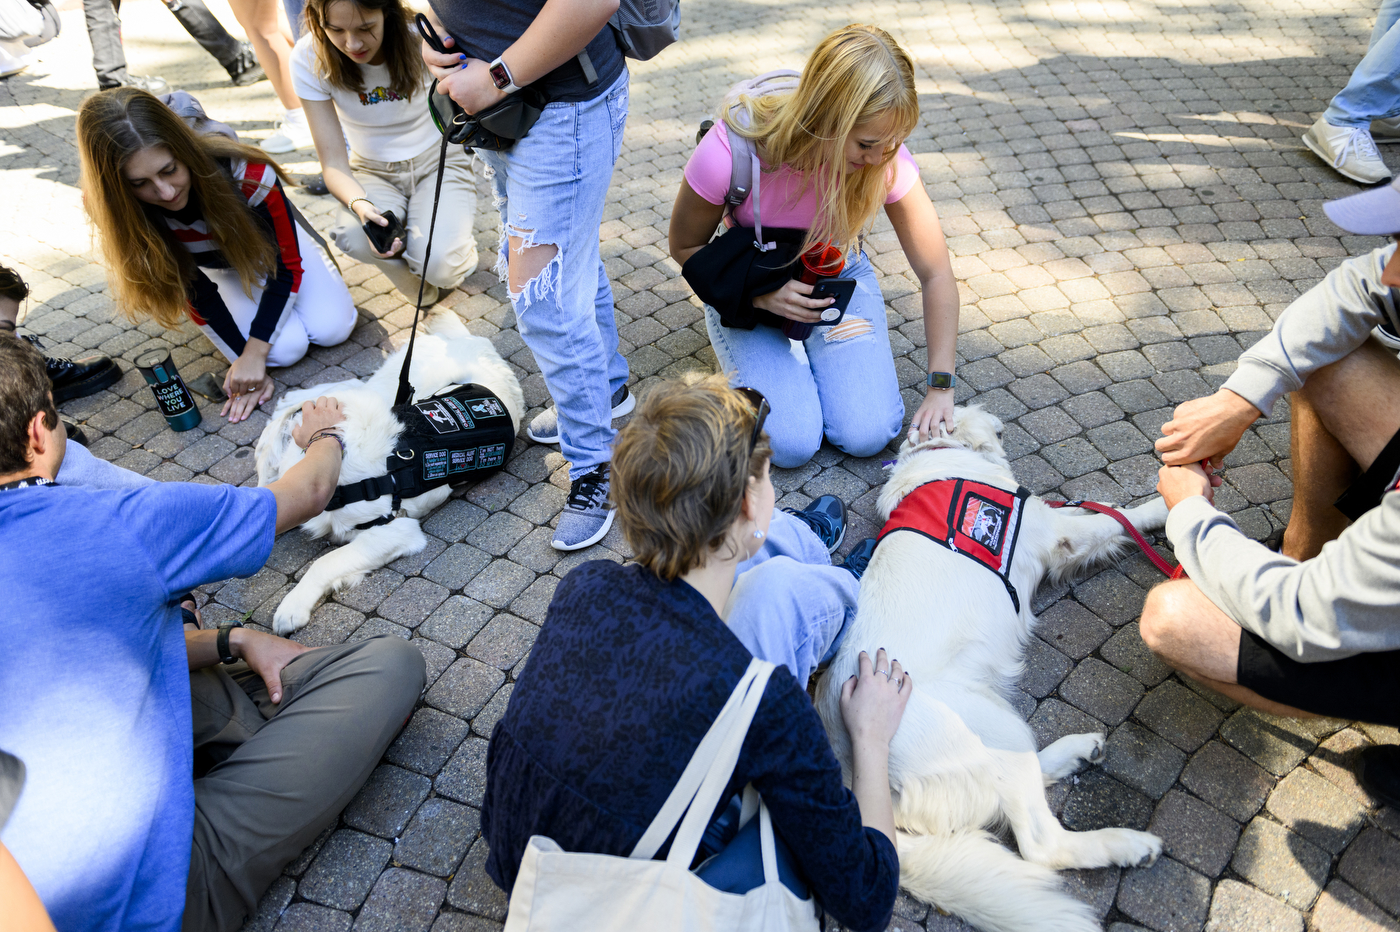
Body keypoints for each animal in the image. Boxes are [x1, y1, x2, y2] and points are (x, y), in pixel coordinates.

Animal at [254, 307, 523, 635]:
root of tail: (475, 341)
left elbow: (325, 562)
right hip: (385, 390)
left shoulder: (394, 530)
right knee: (346, 387)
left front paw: (292, 607)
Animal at [817, 405, 1164, 929]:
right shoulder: (1054, 533)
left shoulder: (1050, 521)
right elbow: (1116, 519)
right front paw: (1166, 507)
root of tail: (851, 776)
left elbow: (1095, 509)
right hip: (994, 724)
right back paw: (1127, 844)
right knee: (1041, 843)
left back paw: (1078, 751)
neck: (941, 458)